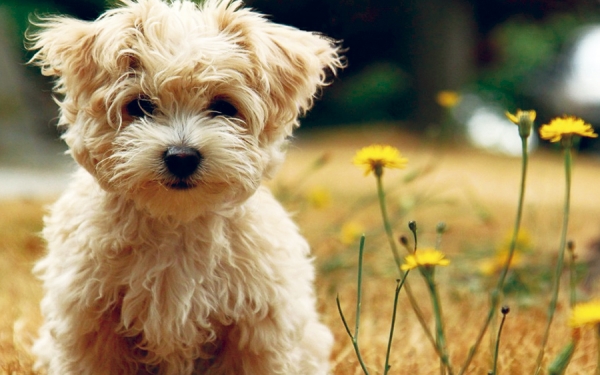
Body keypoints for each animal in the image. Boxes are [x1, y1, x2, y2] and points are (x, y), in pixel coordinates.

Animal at [27, 1, 342, 374]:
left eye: (223, 106)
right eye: (140, 105)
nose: (181, 157)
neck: (176, 222)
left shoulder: (258, 326)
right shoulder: (89, 319)